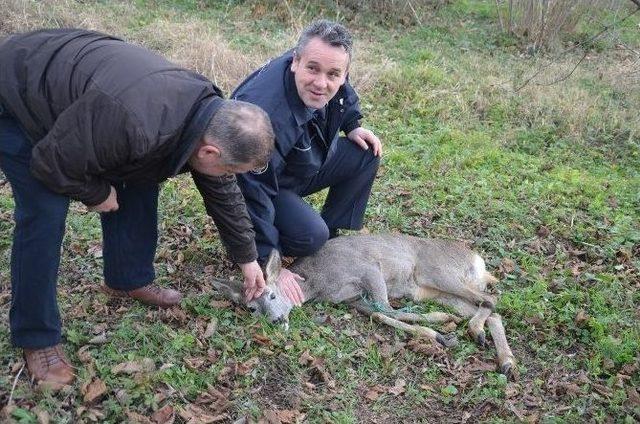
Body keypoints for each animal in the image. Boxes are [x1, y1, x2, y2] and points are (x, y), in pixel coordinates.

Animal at [212, 235, 516, 378]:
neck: (317, 282)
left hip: (437, 272)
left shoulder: (369, 268)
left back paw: (476, 332)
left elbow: (387, 309)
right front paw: (439, 334)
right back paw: (504, 359)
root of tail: (477, 260)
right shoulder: (355, 300)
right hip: (434, 290)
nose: (275, 321)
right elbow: (381, 315)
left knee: (491, 299)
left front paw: (441, 327)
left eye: (273, 296)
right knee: (491, 309)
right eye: (252, 309)